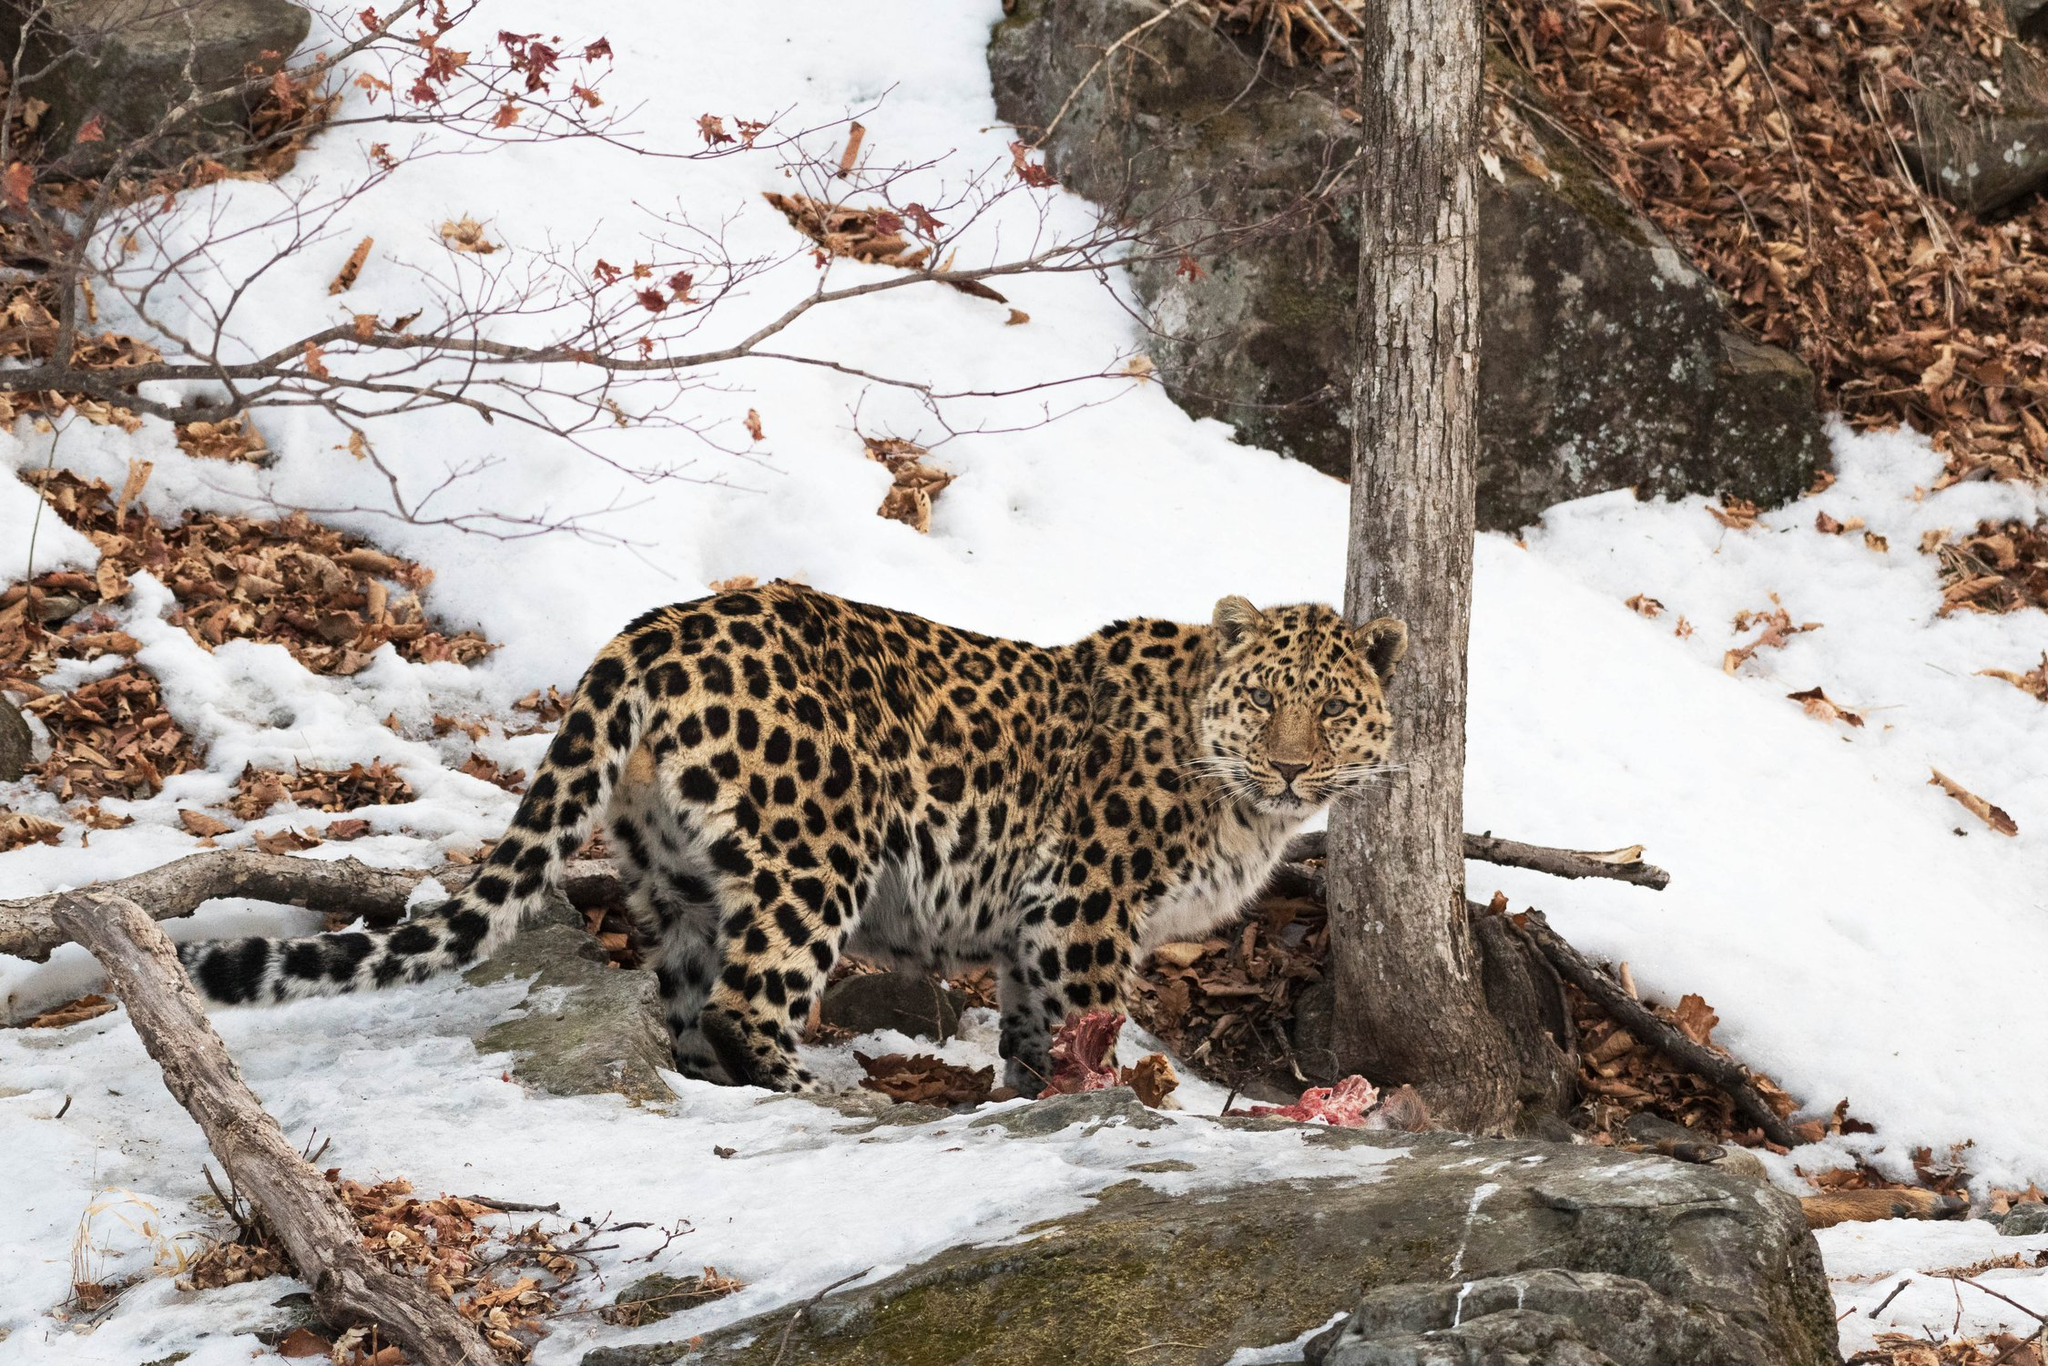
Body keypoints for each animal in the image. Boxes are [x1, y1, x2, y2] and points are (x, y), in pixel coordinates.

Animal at [180, 581, 1409, 1097]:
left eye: (1331, 711)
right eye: (1267, 703)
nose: (1291, 764)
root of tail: (655, 628)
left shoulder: (1033, 924)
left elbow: (1028, 1028)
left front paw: (1031, 1098)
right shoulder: (1083, 906)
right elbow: (1086, 1020)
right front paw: (1105, 1101)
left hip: (679, 877)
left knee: (688, 996)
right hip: (821, 854)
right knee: (749, 998)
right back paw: (817, 1096)